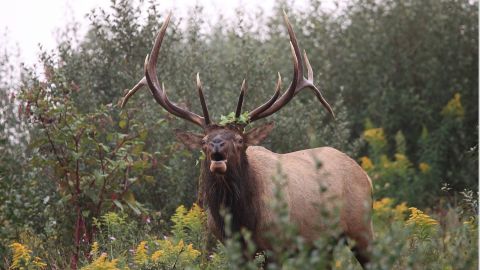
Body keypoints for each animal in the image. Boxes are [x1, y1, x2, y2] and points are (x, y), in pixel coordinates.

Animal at [121, 11, 376, 268]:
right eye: (204, 141)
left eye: (240, 140)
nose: (217, 145)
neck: (241, 222)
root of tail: (365, 175)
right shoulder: (232, 248)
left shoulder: (277, 245)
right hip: (326, 243)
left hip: (361, 229)